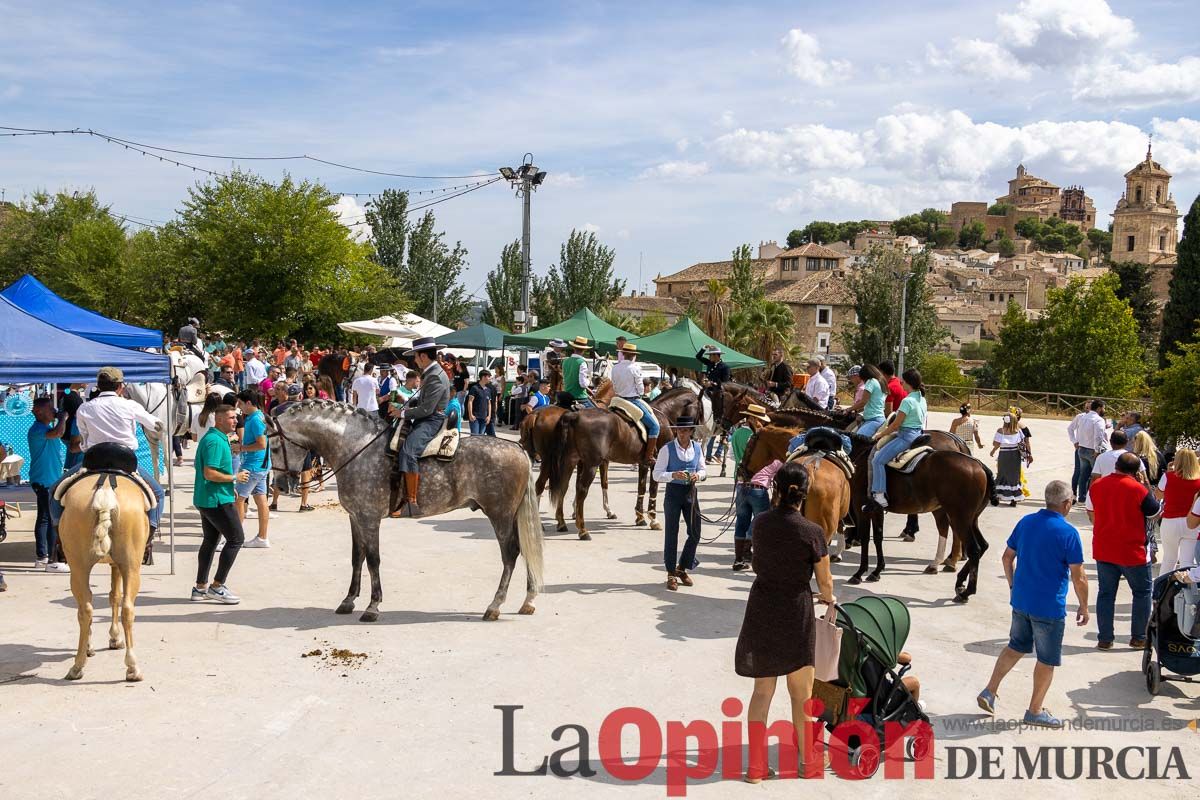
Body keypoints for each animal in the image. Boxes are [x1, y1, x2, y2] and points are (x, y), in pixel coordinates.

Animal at [57, 472, 152, 686]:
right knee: (126, 609)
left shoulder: (113, 565)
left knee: (86, 609)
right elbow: (114, 596)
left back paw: (78, 665)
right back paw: (132, 667)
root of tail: (105, 492)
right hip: (131, 567)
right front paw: (115, 638)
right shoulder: (118, 565)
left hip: (78, 569)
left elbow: (111, 596)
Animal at [270, 402, 547, 623]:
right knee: (523, 549)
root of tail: (518, 449)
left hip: (500, 515)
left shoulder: (369, 519)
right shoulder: (355, 518)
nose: (281, 485)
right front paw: (348, 601)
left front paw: (372, 606)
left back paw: (495, 606)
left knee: (510, 554)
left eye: (272, 448)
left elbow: (373, 560)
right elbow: (356, 558)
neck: (357, 449)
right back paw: (529, 600)